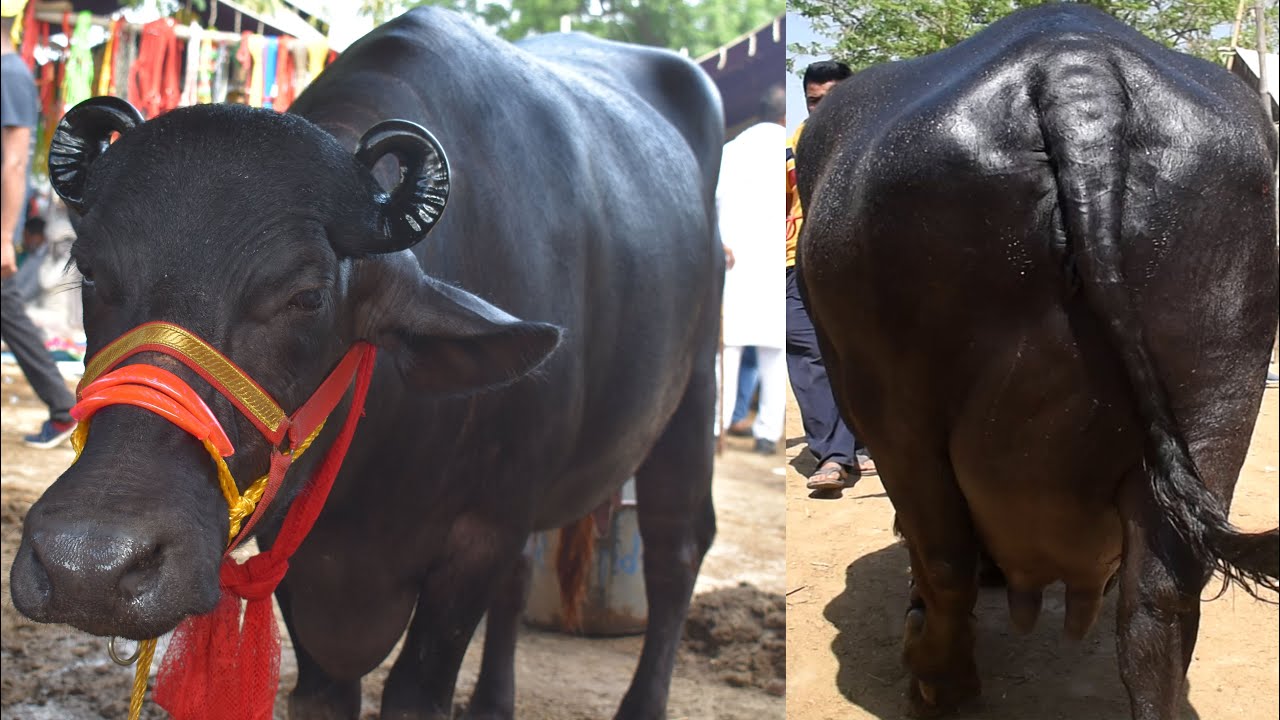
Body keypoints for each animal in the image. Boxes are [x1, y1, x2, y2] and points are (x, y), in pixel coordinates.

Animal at [8, 7, 724, 719]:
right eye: (89, 271)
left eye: (307, 295)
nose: (88, 563)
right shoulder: (300, 549)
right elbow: (327, 692)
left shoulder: (481, 537)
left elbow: (417, 691)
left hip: (692, 399)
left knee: (676, 552)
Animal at [794, 5, 1279, 720]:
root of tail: (1075, 71)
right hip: (1219, 395)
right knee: (1159, 603)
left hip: (896, 410)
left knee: (943, 562)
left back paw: (934, 681)